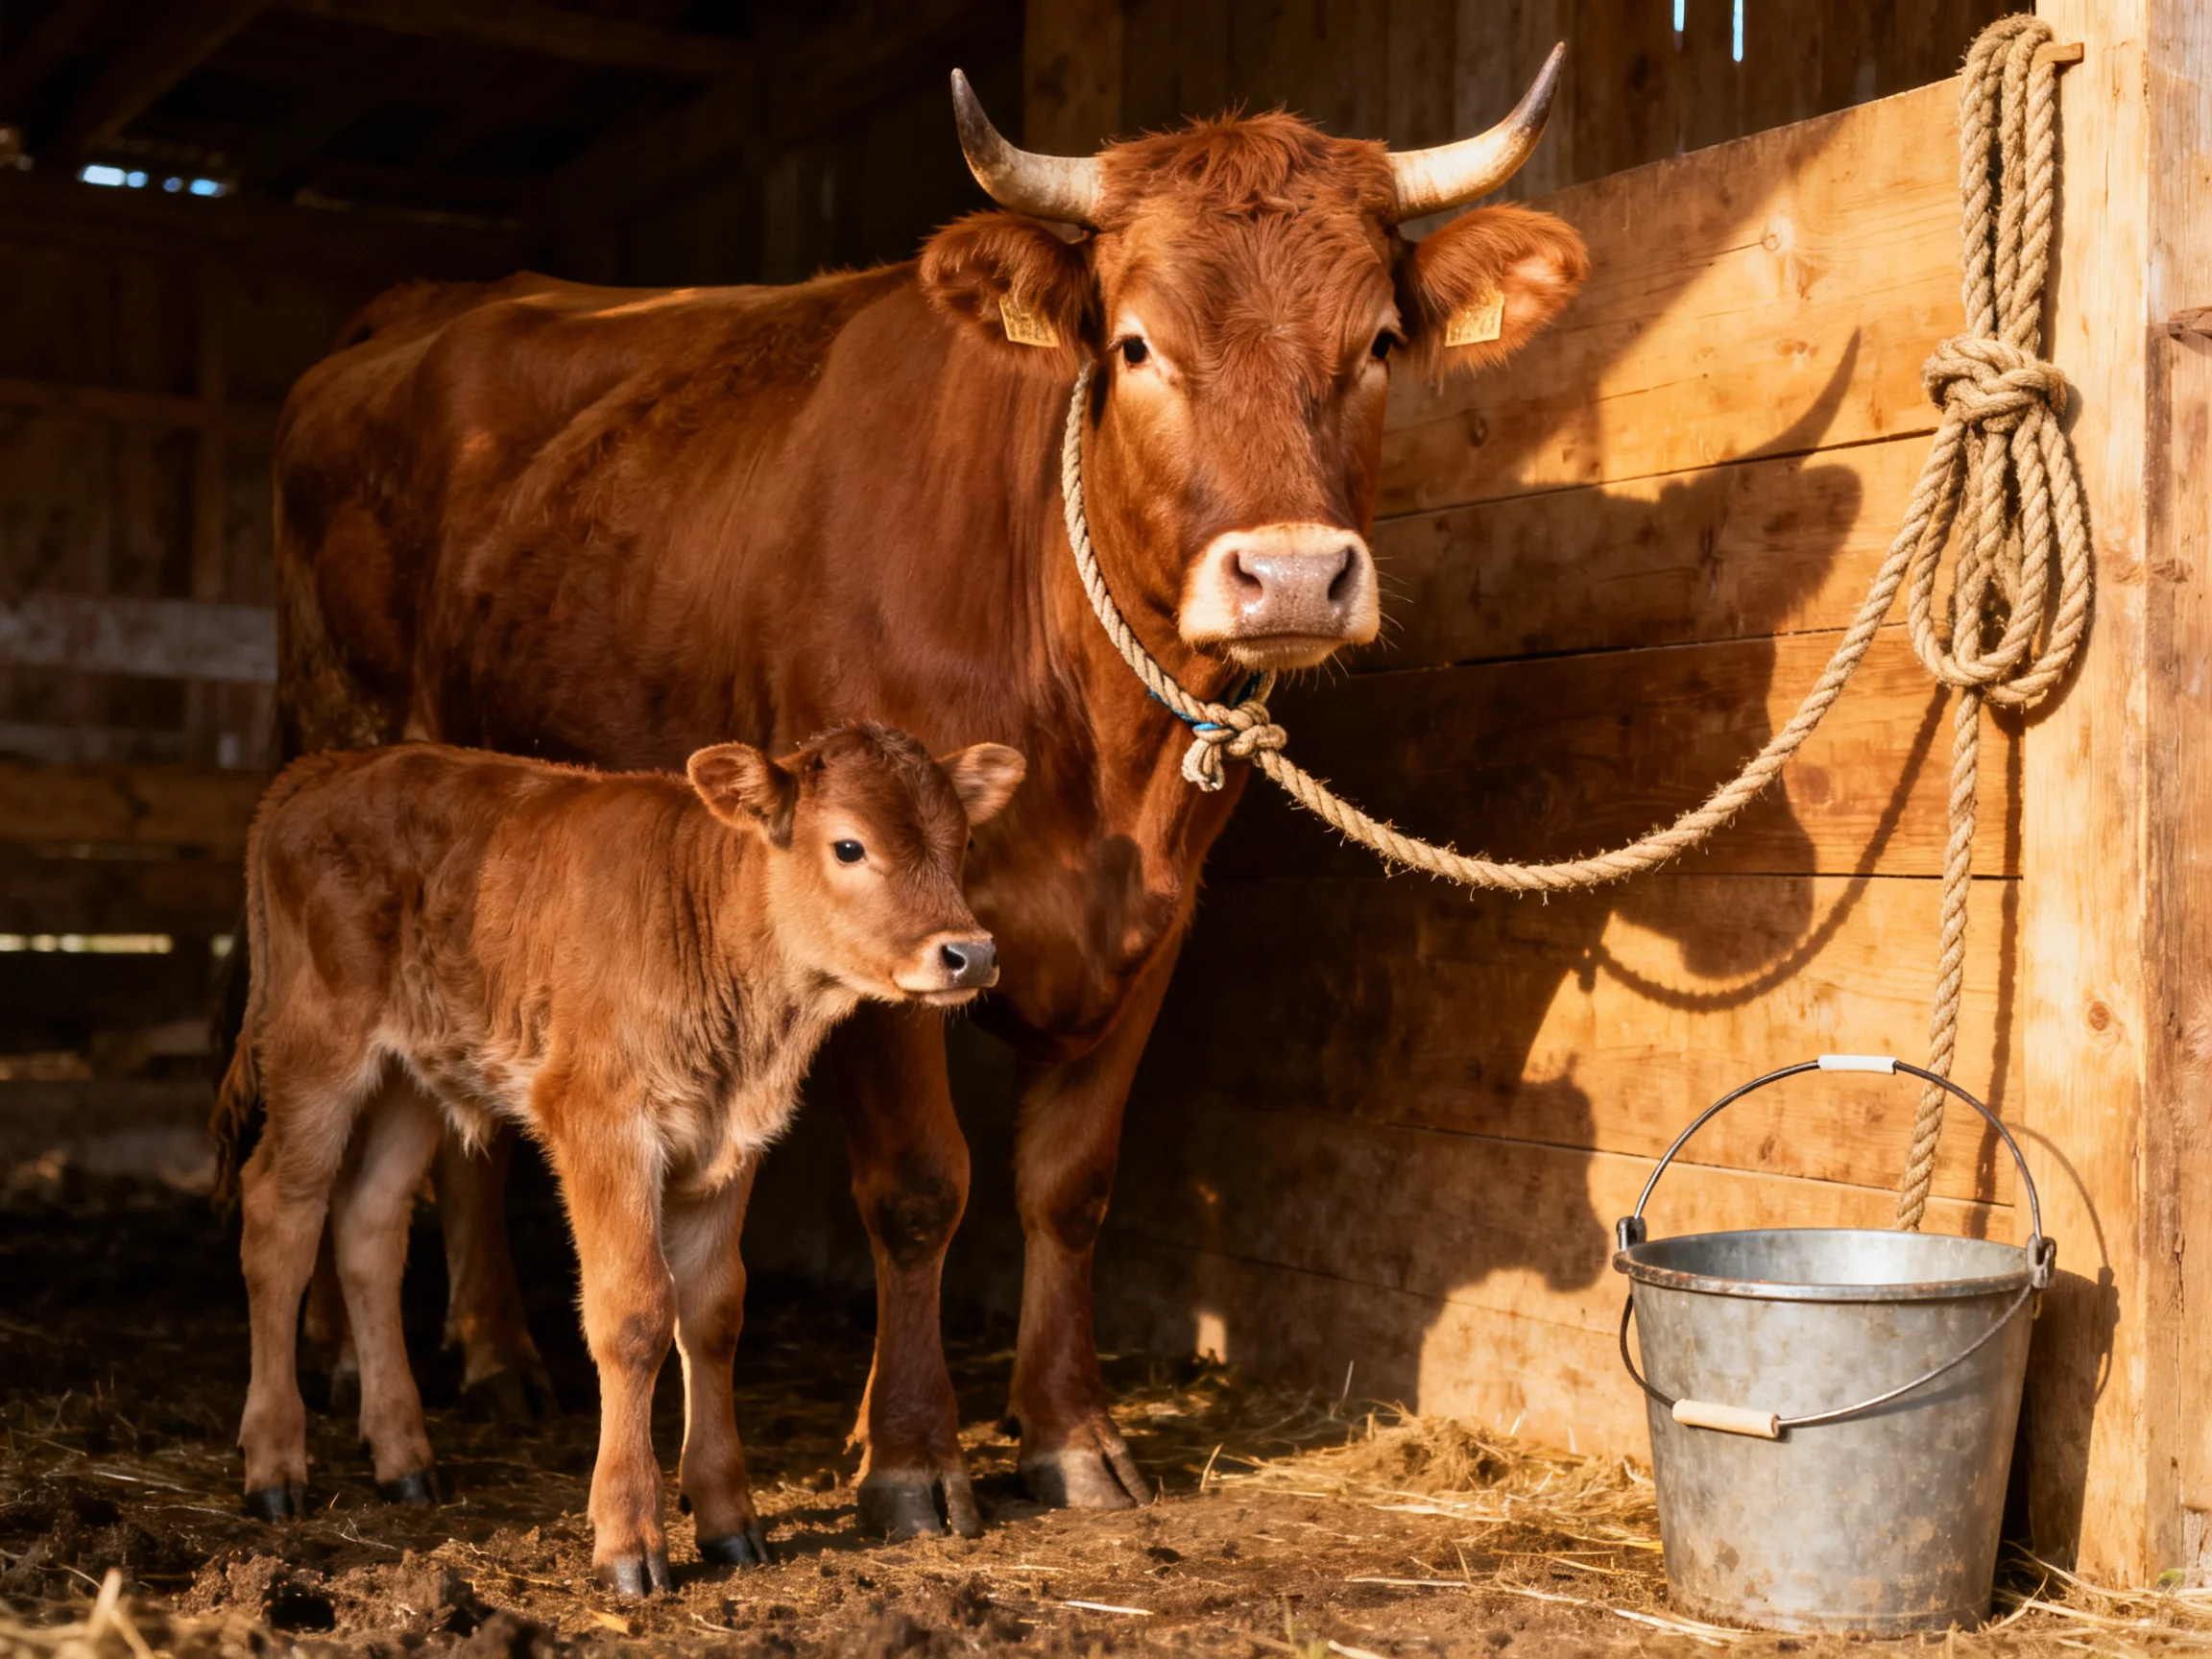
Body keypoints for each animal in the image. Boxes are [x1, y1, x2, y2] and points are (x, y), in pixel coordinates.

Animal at [216, 726, 1027, 1592]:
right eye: (848, 844)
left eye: (962, 840)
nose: (970, 954)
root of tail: (330, 768)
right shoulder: (600, 1123)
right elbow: (635, 1312)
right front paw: (629, 1538)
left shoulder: (728, 1144)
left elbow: (714, 1314)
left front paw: (728, 1519)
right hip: (317, 1047)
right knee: (279, 1214)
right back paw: (275, 1467)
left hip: (411, 1077)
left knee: (369, 1224)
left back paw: (404, 1459)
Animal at [262, 61, 1588, 1542]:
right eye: (1136, 346)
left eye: (1377, 342)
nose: (1293, 578)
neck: (1092, 741)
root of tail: (420, 307)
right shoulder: (879, 930)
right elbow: (918, 1189)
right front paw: (908, 1456)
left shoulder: (1154, 930)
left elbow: (1068, 1188)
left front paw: (1069, 1436)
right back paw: (409, 1351)